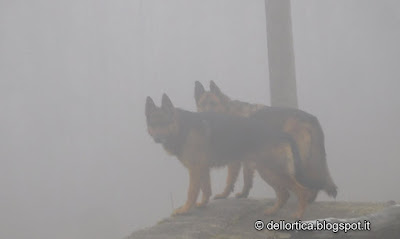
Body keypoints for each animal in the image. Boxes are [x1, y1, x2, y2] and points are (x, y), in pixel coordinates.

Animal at [145, 93, 314, 218]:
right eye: (153, 125)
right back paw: (272, 211)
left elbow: (192, 192)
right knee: (284, 194)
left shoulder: (195, 170)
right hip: (267, 172)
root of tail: (282, 133)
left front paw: (185, 210)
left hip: (272, 172)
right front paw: (203, 204)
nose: (157, 138)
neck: (181, 127)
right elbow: (206, 189)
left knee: (301, 191)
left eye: (165, 123)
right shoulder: (202, 169)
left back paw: (298, 214)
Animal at [194, 80, 338, 202]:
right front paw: (244, 194)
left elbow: (231, 179)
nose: (204, 116)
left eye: (213, 104)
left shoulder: (236, 160)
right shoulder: (247, 159)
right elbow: (247, 179)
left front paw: (224, 195)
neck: (228, 112)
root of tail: (311, 118)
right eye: (202, 105)